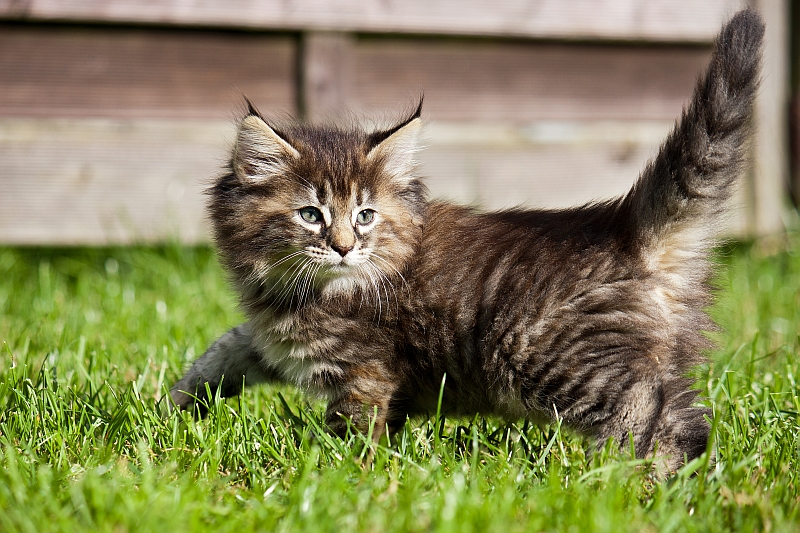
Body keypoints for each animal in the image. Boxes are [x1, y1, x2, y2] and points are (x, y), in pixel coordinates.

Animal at [170, 10, 764, 472]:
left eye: (365, 216)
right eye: (311, 215)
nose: (342, 247)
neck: (299, 290)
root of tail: (623, 227)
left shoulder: (366, 371)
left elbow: (354, 430)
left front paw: (342, 476)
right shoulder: (274, 340)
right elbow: (228, 345)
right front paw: (176, 404)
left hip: (562, 360)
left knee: (654, 423)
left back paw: (632, 488)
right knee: (687, 416)